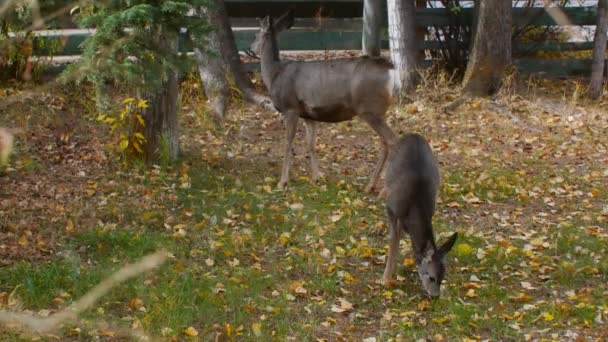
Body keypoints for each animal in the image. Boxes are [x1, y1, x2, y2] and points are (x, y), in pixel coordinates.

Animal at [249, 10, 396, 191]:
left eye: (255, 35)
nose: (250, 49)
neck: (274, 74)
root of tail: (390, 72)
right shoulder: (309, 115)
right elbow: (310, 144)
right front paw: (316, 178)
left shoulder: (290, 108)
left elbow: (288, 142)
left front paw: (282, 182)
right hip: (378, 111)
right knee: (385, 142)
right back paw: (371, 186)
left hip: (369, 108)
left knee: (391, 140)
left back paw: (381, 189)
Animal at [382, 132, 458, 298]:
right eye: (431, 277)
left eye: (442, 277)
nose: (435, 296)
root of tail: (413, 134)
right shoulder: (391, 208)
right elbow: (393, 240)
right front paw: (386, 278)